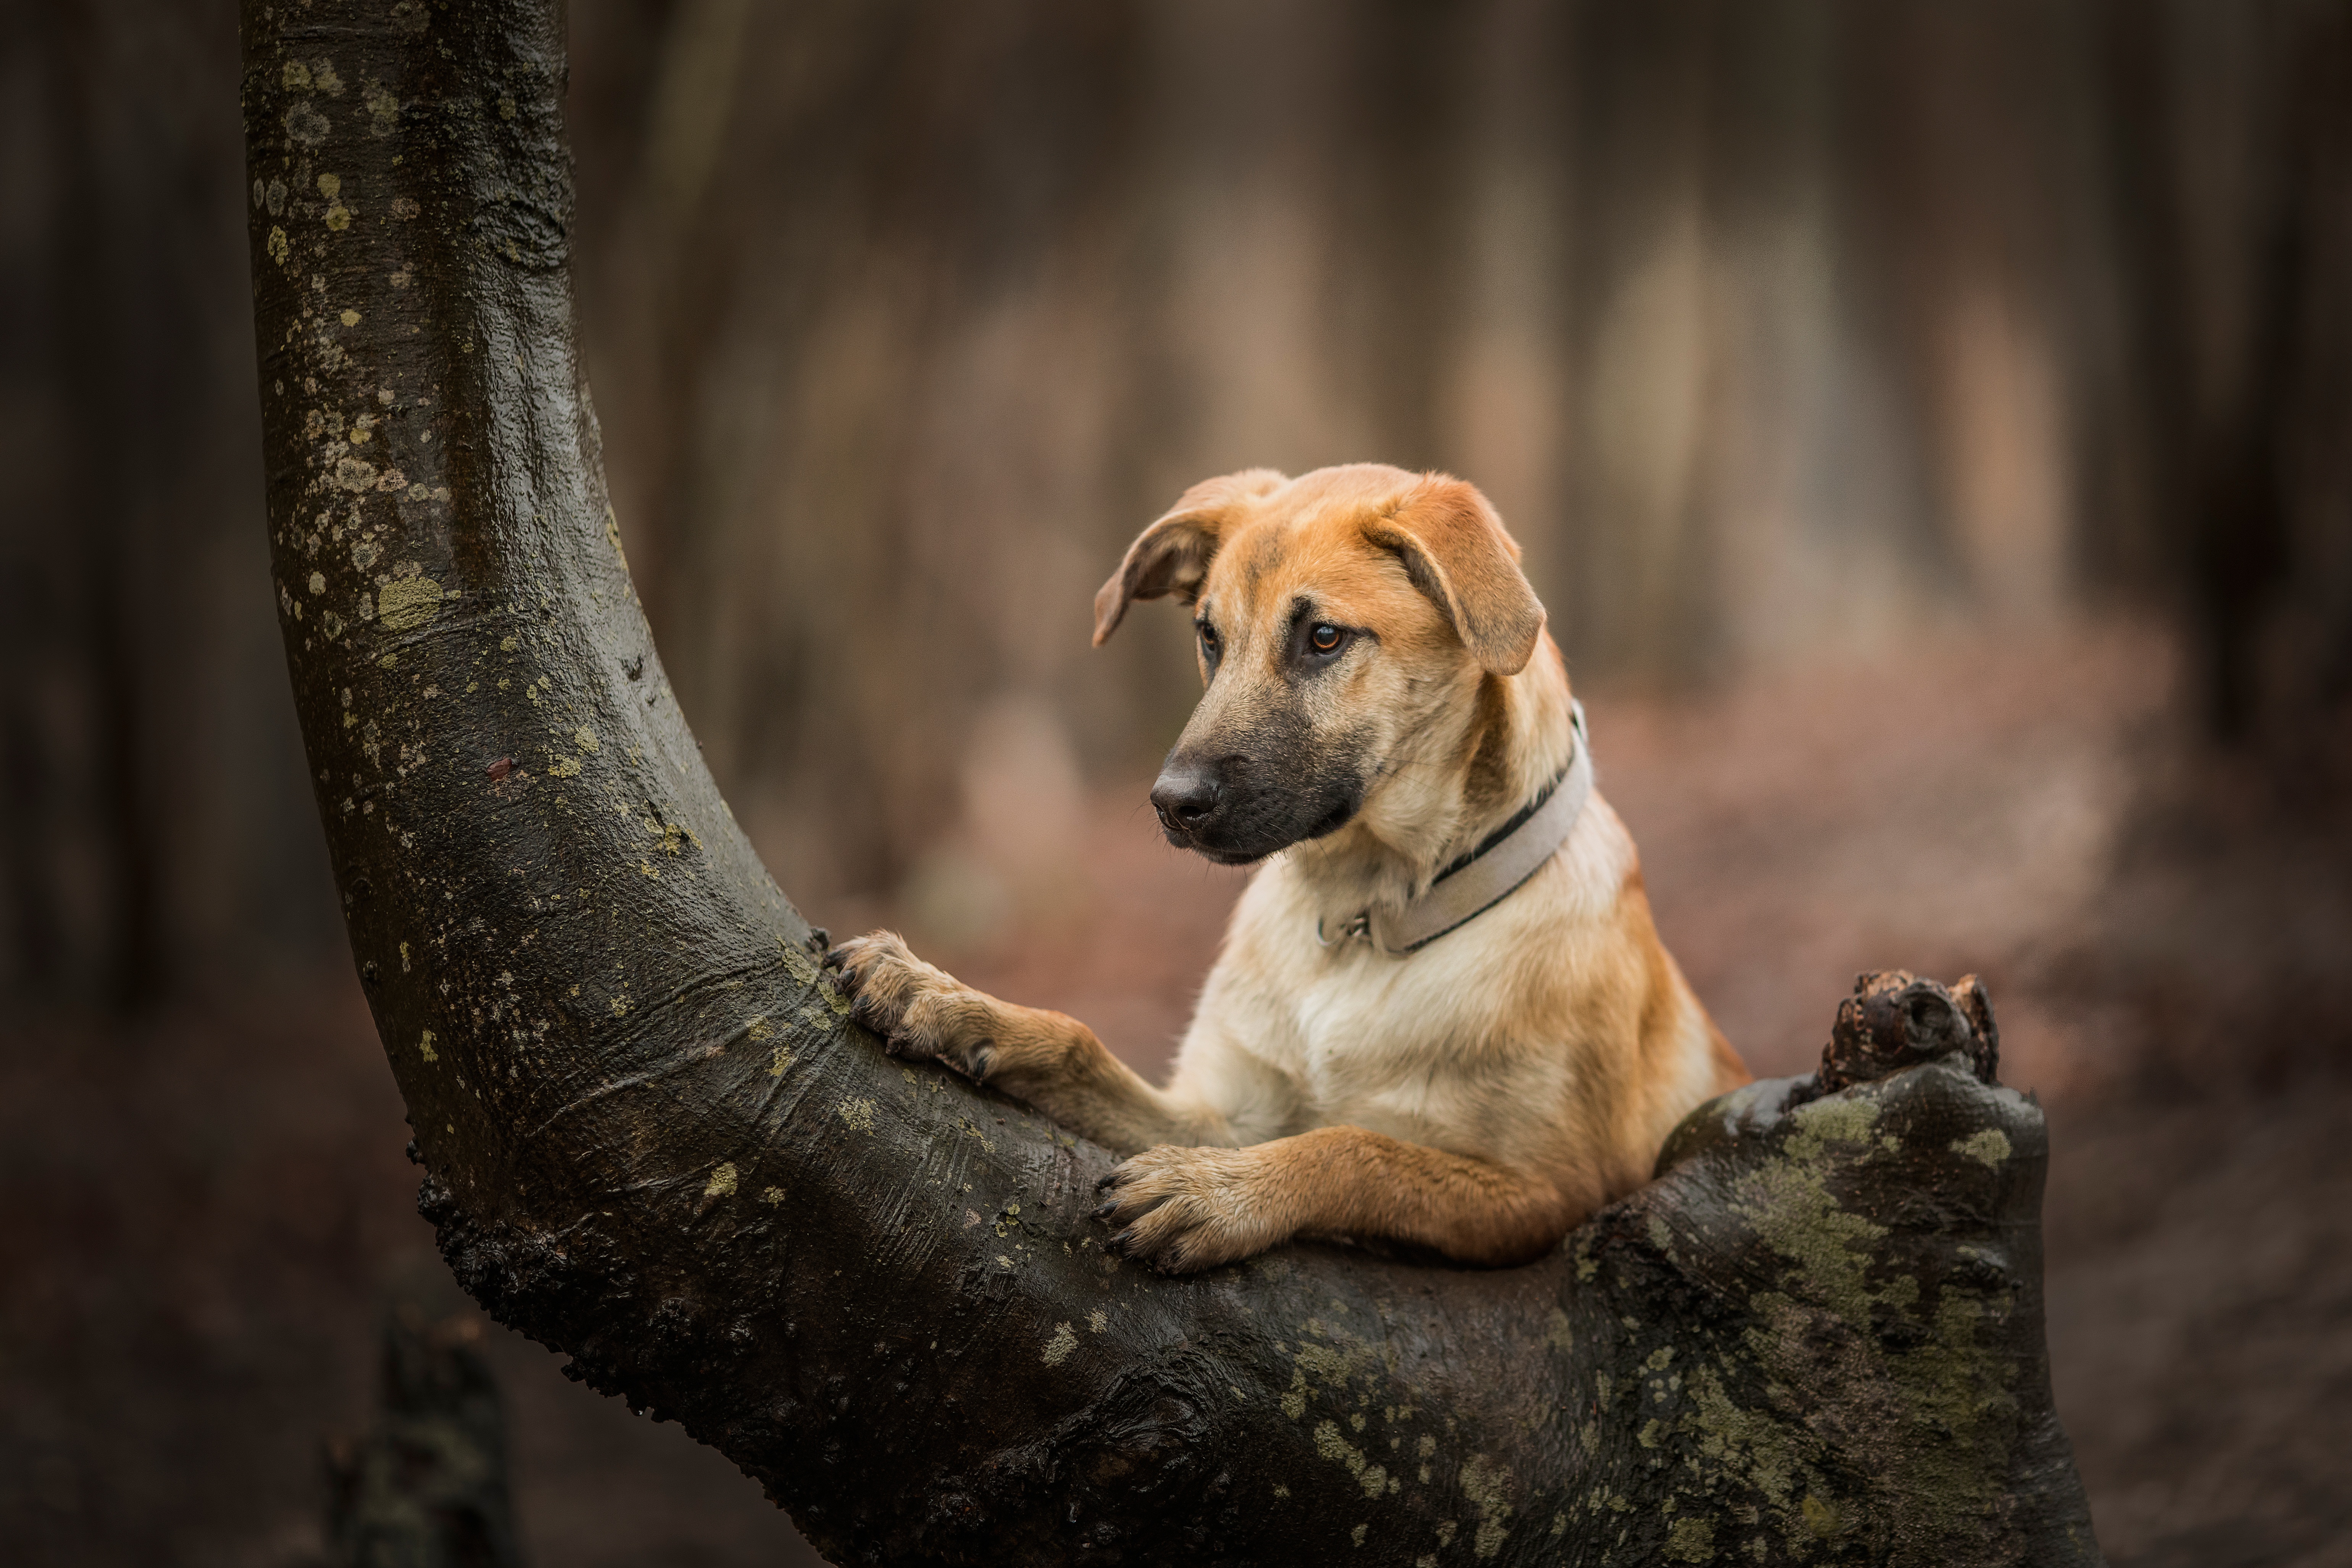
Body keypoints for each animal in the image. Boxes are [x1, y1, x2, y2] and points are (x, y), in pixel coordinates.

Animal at [832, 465, 1750, 1279]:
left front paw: (1217, 1194)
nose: (1170, 804)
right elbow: (1077, 1039)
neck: (1364, 919)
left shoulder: (1551, 1194)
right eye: (1209, 636)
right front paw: (945, 997)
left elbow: (1356, 1147)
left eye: (1324, 638)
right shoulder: (1222, 1109)